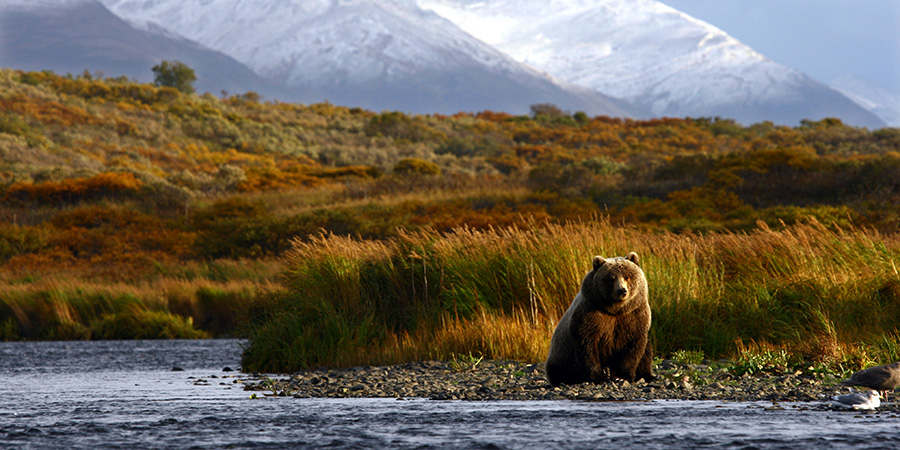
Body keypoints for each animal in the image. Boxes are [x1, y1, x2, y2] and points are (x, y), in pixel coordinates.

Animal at [540, 251, 652, 384]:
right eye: (611, 278)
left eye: (627, 276)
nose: (622, 290)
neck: (616, 310)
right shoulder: (592, 314)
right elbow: (587, 345)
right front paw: (598, 377)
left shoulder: (634, 315)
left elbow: (633, 346)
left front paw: (623, 376)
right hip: (561, 354)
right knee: (559, 369)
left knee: (647, 351)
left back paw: (647, 376)